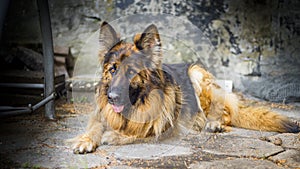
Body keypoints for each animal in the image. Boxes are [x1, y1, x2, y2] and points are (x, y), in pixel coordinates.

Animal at [68, 21, 300, 154]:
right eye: (113, 69)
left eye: (132, 71)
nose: (112, 97)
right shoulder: (100, 114)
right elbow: (95, 126)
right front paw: (86, 139)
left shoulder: (166, 126)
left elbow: (142, 130)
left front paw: (114, 136)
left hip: (196, 73)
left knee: (224, 113)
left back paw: (213, 123)